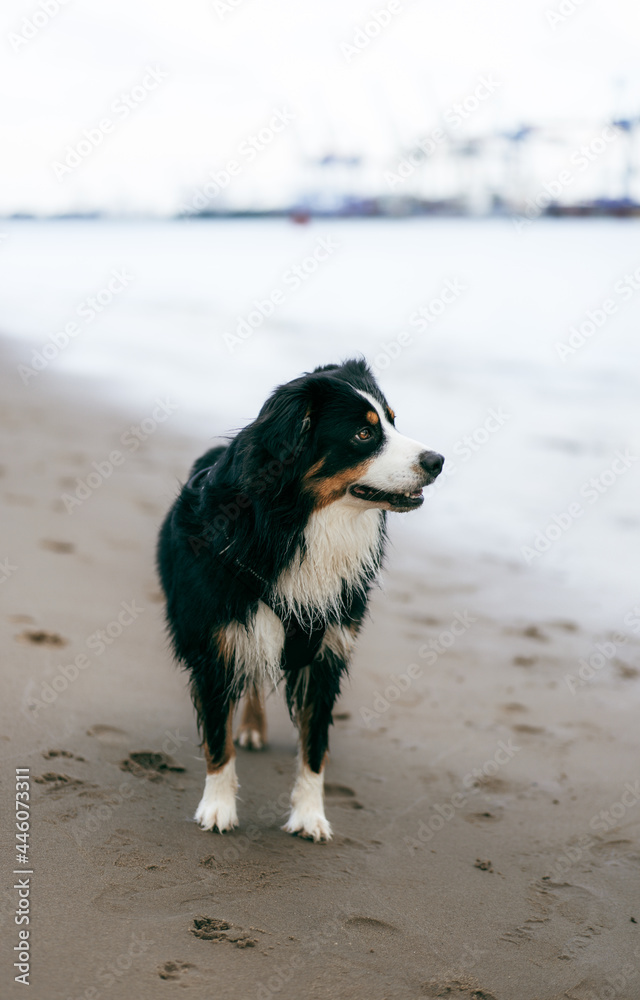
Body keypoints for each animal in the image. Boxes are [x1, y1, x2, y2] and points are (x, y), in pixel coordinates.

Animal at [158, 356, 442, 840]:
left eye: (392, 420)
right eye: (363, 434)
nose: (437, 461)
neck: (302, 526)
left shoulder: (328, 650)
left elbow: (314, 746)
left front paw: (310, 816)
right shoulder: (218, 644)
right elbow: (217, 739)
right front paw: (217, 808)